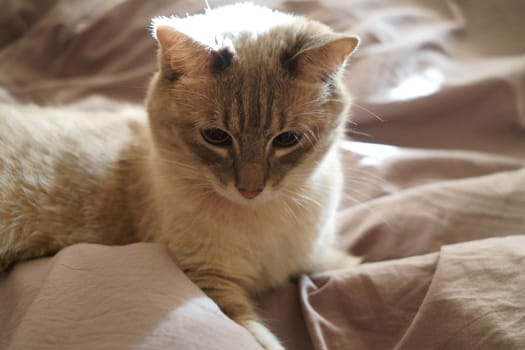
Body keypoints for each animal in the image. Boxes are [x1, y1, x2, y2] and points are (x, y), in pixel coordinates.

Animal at [0, 3, 360, 350]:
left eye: (287, 140)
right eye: (216, 137)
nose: (250, 190)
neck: (261, 217)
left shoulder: (311, 257)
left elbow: (344, 263)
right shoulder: (208, 279)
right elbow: (259, 337)